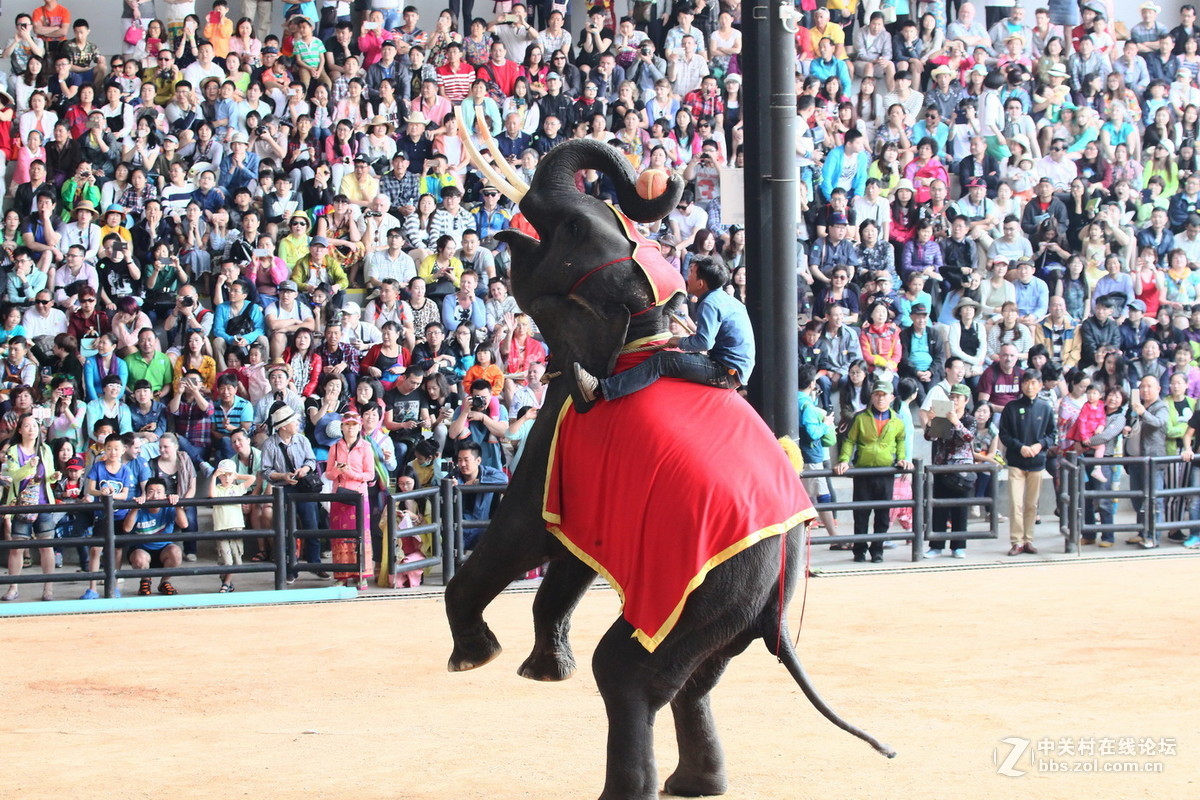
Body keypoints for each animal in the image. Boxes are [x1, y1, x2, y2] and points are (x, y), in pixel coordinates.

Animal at [444, 134, 892, 796]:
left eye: (573, 228)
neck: (646, 333)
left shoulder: (560, 427)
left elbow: (525, 532)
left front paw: (476, 658)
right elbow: (574, 555)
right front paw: (543, 671)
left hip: (708, 598)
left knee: (627, 674)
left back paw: (630, 789)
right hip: (731, 617)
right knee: (696, 679)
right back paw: (694, 784)